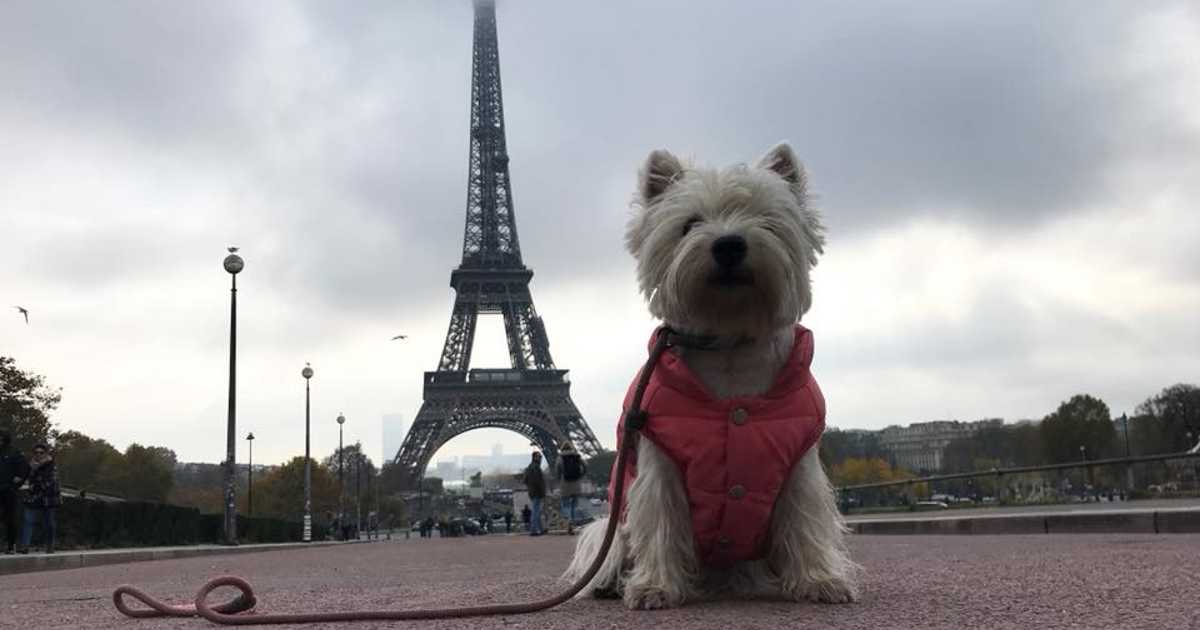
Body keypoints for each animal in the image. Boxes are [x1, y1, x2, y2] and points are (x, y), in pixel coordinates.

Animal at [564, 143, 859, 609]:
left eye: (766, 220)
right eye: (689, 225)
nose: (729, 244)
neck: (730, 347)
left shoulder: (798, 464)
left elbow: (805, 521)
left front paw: (819, 579)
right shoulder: (660, 463)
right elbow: (661, 522)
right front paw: (655, 586)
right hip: (612, 526)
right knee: (612, 548)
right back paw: (612, 583)